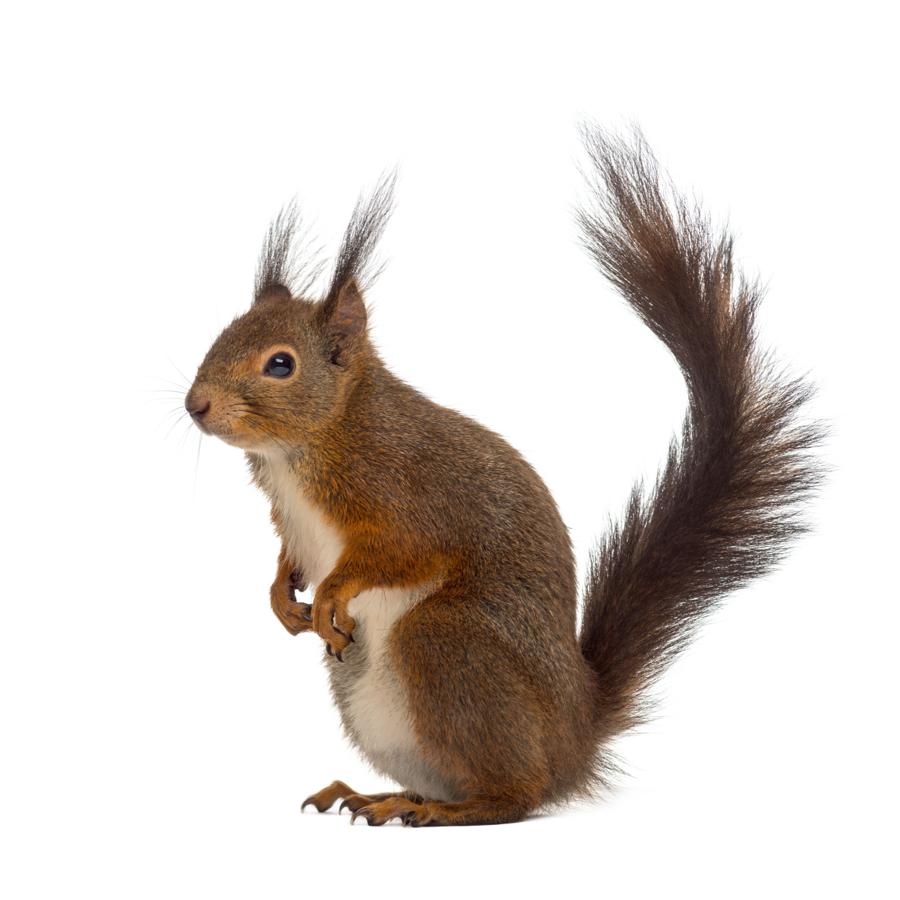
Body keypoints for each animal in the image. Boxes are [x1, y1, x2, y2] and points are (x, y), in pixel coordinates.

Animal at [184, 128, 820, 827]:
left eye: (280, 364)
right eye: (222, 334)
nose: (196, 405)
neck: (304, 449)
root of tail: (574, 737)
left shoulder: (407, 490)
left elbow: (401, 552)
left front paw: (329, 594)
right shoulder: (294, 521)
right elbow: (289, 559)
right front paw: (281, 599)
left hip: (447, 642)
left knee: (516, 796)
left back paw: (446, 811)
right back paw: (380, 795)